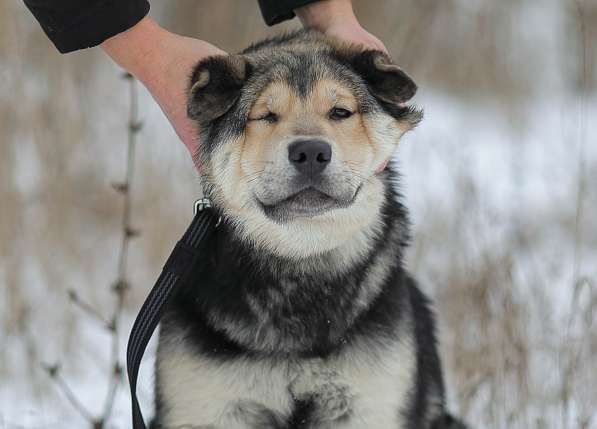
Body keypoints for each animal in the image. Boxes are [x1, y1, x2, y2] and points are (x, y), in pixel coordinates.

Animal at [151, 30, 468, 428]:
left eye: (340, 112)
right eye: (266, 115)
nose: (312, 152)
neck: (301, 262)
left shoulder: (368, 404)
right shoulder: (206, 406)